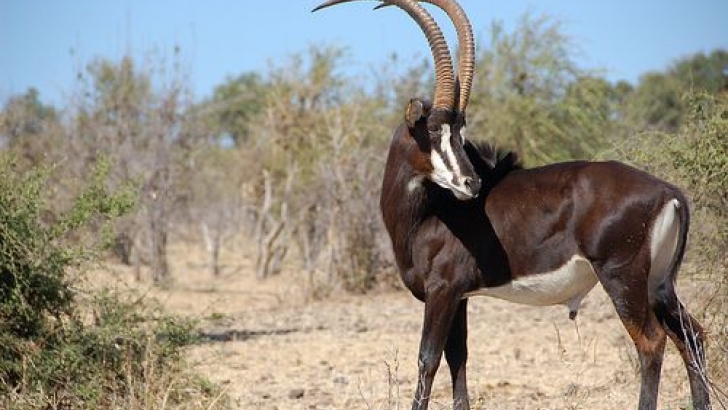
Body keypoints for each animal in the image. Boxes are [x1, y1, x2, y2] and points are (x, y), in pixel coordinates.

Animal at [312, 0, 712, 410]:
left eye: (460, 135)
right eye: (435, 132)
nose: (471, 183)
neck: (427, 212)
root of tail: (669, 193)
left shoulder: (441, 290)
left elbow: (428, 358)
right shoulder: (459, 297)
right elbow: (459, 358)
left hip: (622, 277)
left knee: (652, 342)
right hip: (659, 284)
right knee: (692, 336)